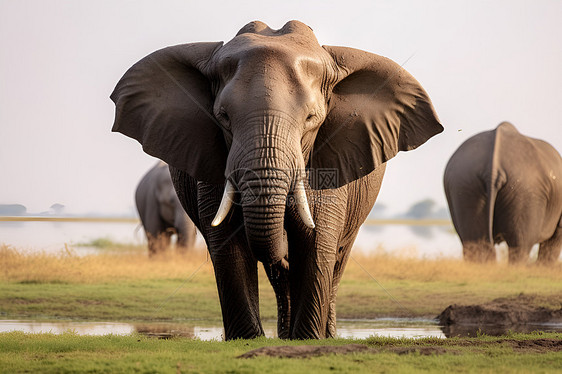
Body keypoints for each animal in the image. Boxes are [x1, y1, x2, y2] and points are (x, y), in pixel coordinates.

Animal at [109, 21, 442, 342]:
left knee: (336, 261)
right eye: (223, 117)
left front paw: (307, 340)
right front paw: (247, 340)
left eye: (311, 118)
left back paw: (322, 333)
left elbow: (316, 243)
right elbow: (228, 247)